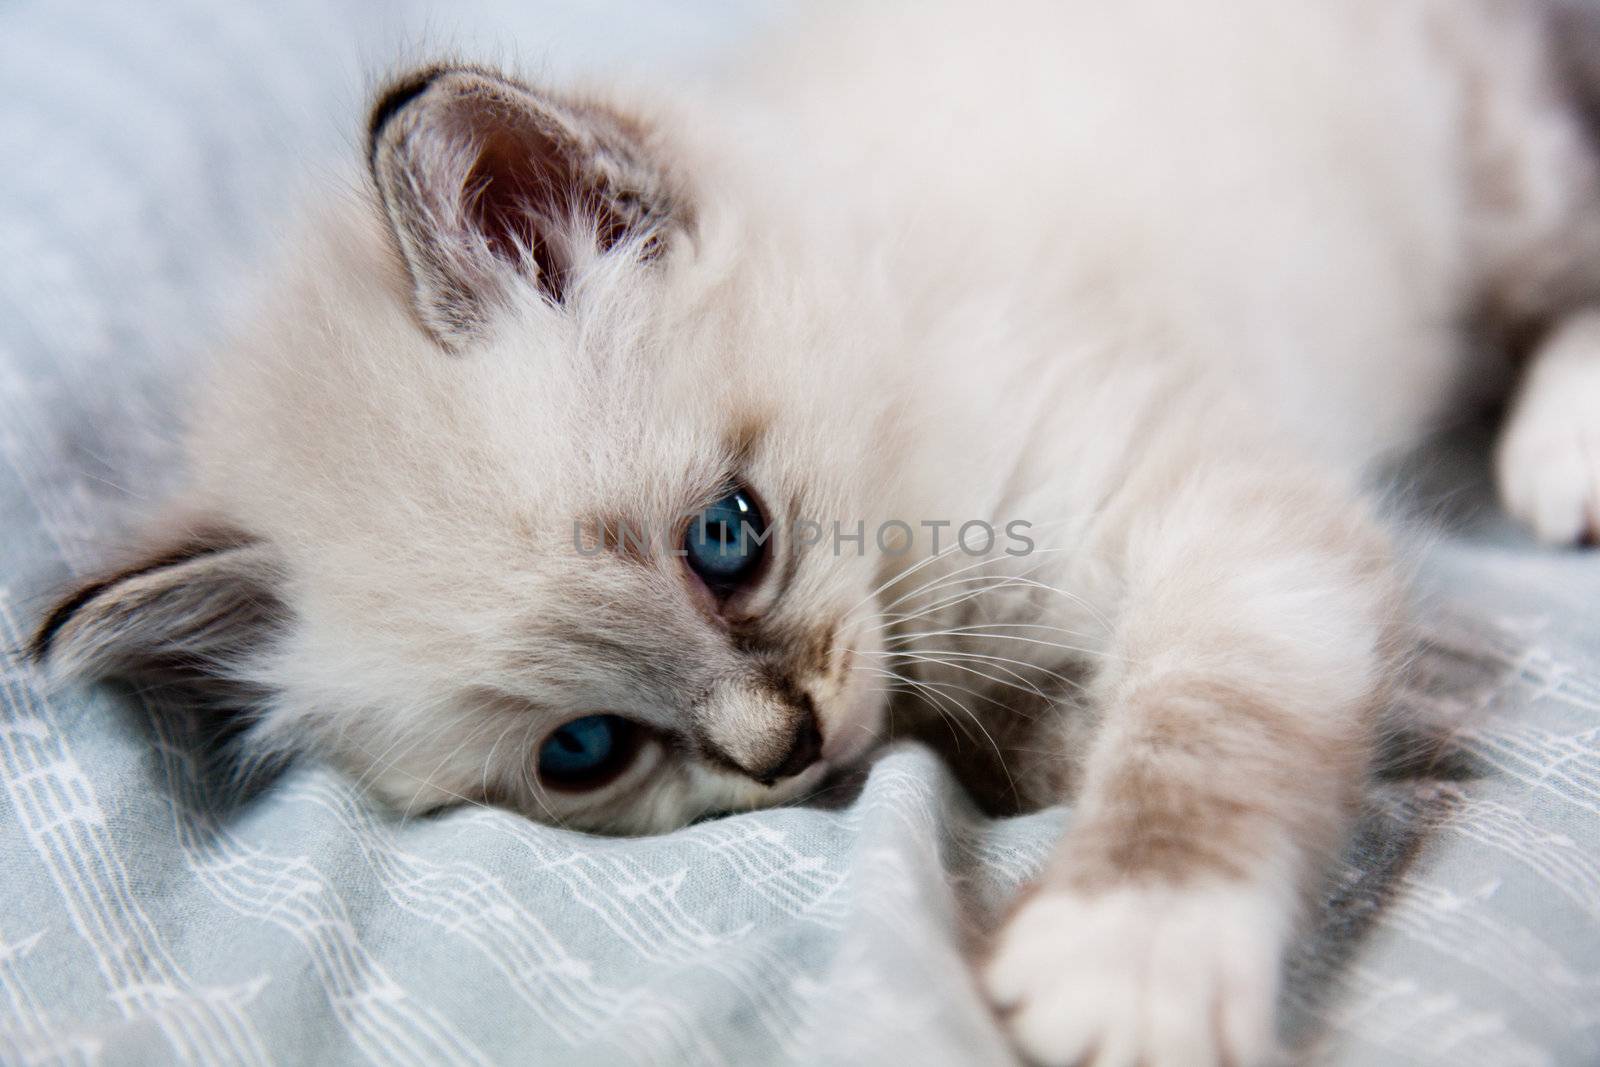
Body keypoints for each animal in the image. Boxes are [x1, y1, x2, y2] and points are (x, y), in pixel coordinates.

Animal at [28, 2, 1600, 1067]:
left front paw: (1129, 952)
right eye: (585, 751)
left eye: (728, 538)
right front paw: (1056, 743)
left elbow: (1202, 734)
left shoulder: (1221, 510)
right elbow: (1037, 727)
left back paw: (1562, 448)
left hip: (1487, 165)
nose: (782, 746)